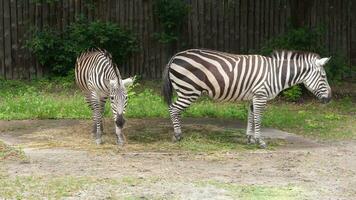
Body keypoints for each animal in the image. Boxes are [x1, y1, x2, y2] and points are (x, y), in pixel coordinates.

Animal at [163, 49, 332, 148]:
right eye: (323, 77)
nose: (330, 98)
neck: (275, 74)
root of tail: (175, 55)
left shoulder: (253, 97)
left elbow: (251, 117)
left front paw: (250, 139)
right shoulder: (260, 96)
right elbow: (258, 119)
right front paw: (260, 141)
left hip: (184, 91)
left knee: (174, 109)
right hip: (189, 91)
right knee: (173, 109)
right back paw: (178, 135)